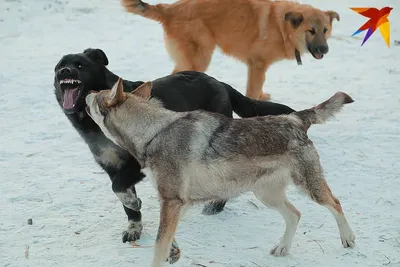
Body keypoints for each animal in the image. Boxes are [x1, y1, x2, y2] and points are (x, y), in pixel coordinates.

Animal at [53, 48, 296, 243]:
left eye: (80, 65)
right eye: (58, 67)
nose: (64, 71)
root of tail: (218, 83)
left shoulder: (137, 164)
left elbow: (119, 187)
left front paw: (134, 202)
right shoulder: (112, 167)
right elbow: (122, 196)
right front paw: (134, 225)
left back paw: (216, 205)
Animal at [86, 79, 354, 267]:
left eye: (97, 96)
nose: (87, 93)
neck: (153, 132)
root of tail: (295, 118)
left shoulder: (172, 201)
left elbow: (158, 247)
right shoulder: (177, 203)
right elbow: (168, 238)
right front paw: (175, 252)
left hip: (309, 188)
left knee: (336, 203)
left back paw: (348, 239)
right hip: (267, 196)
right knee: (295, 215)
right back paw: (282, 249)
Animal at [121, 0, 338, 101]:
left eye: (325, 30)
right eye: (311, 31)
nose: (325, 49)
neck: (282, 27)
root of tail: (169, 9)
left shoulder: (258, 68)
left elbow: (258, 87)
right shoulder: (257, 65)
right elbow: (253, 90)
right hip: (200, 57)